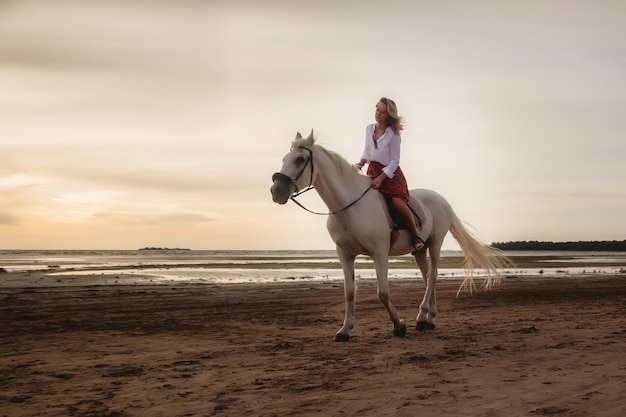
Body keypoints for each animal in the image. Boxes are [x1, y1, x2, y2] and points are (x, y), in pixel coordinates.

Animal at [268, 131, 508, 342]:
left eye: (300, 159)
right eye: (284, 158)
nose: (276, 191)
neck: (349, 207)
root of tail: (441, 199)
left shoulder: (380, 253)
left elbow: (382, 292)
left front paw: (399, 325)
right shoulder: (344, 254)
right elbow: (349, 292)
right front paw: (345, 330)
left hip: (435, 243)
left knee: (432, 276)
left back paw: (422, 316)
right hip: (419, 250)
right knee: (427, 277)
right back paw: (428, 318)